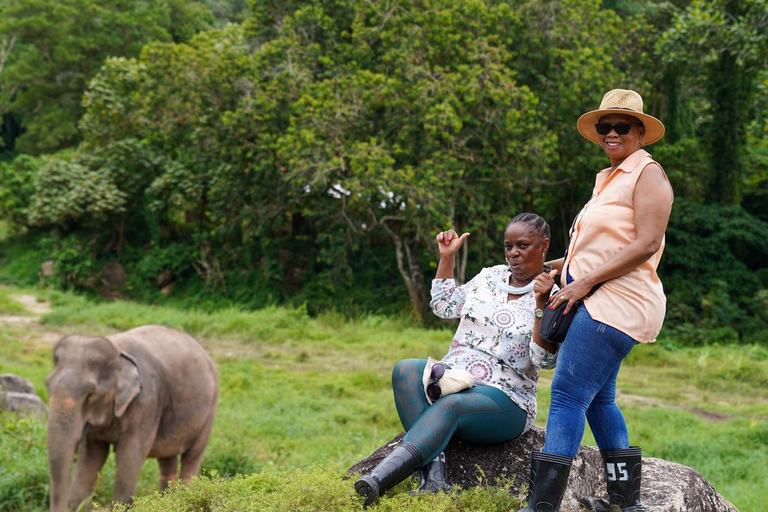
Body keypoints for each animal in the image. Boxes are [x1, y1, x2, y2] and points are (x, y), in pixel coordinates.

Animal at [44, 326, 218, 510]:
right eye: (47, 386)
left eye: (90, 395)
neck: (115, 350)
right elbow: (92, 456)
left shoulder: (146, 403)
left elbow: (129, 456)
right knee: (167, 460)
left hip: (209, 411)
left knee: (192, 457)